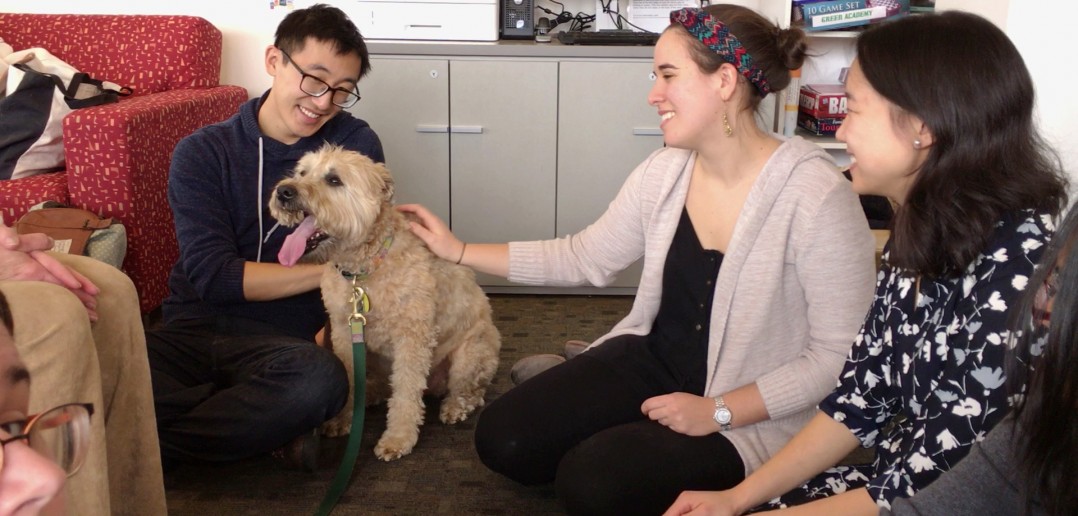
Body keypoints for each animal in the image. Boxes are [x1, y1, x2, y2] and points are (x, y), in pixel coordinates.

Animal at [269, 143, 504, 463]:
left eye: (334, 179)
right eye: (302, 172)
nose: (284, 191)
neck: (363, 270)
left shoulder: (413, 338)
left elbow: (405, 393)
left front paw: (398, 438)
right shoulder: (343, 330)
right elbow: (349, 376)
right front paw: (342, 419)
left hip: (471, 357)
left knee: (469, 391)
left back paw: (455, 406)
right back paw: (372, 394)